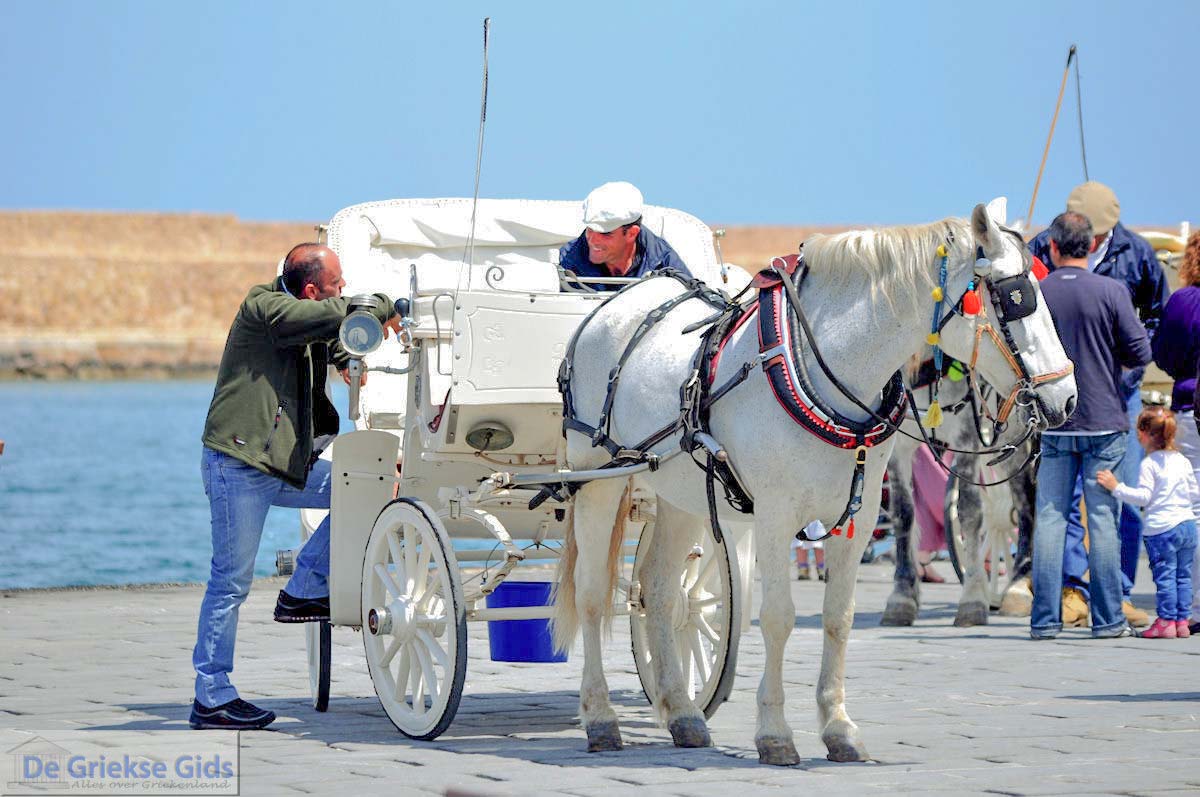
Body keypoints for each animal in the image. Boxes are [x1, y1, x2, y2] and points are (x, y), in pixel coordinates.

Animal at [552, 201, 1077, 765]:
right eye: (1015, 300)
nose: (1066, 398)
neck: (824, 368)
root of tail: (613, 305)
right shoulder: (775, 515)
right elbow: (778, 617)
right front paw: (775, 732)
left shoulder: (858, 516)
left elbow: (837, 616)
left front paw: (839, 728)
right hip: (596, 480)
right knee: (591, 592)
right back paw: (601, 718)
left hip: (680, 494)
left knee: (660, 589)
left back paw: (684, 713)